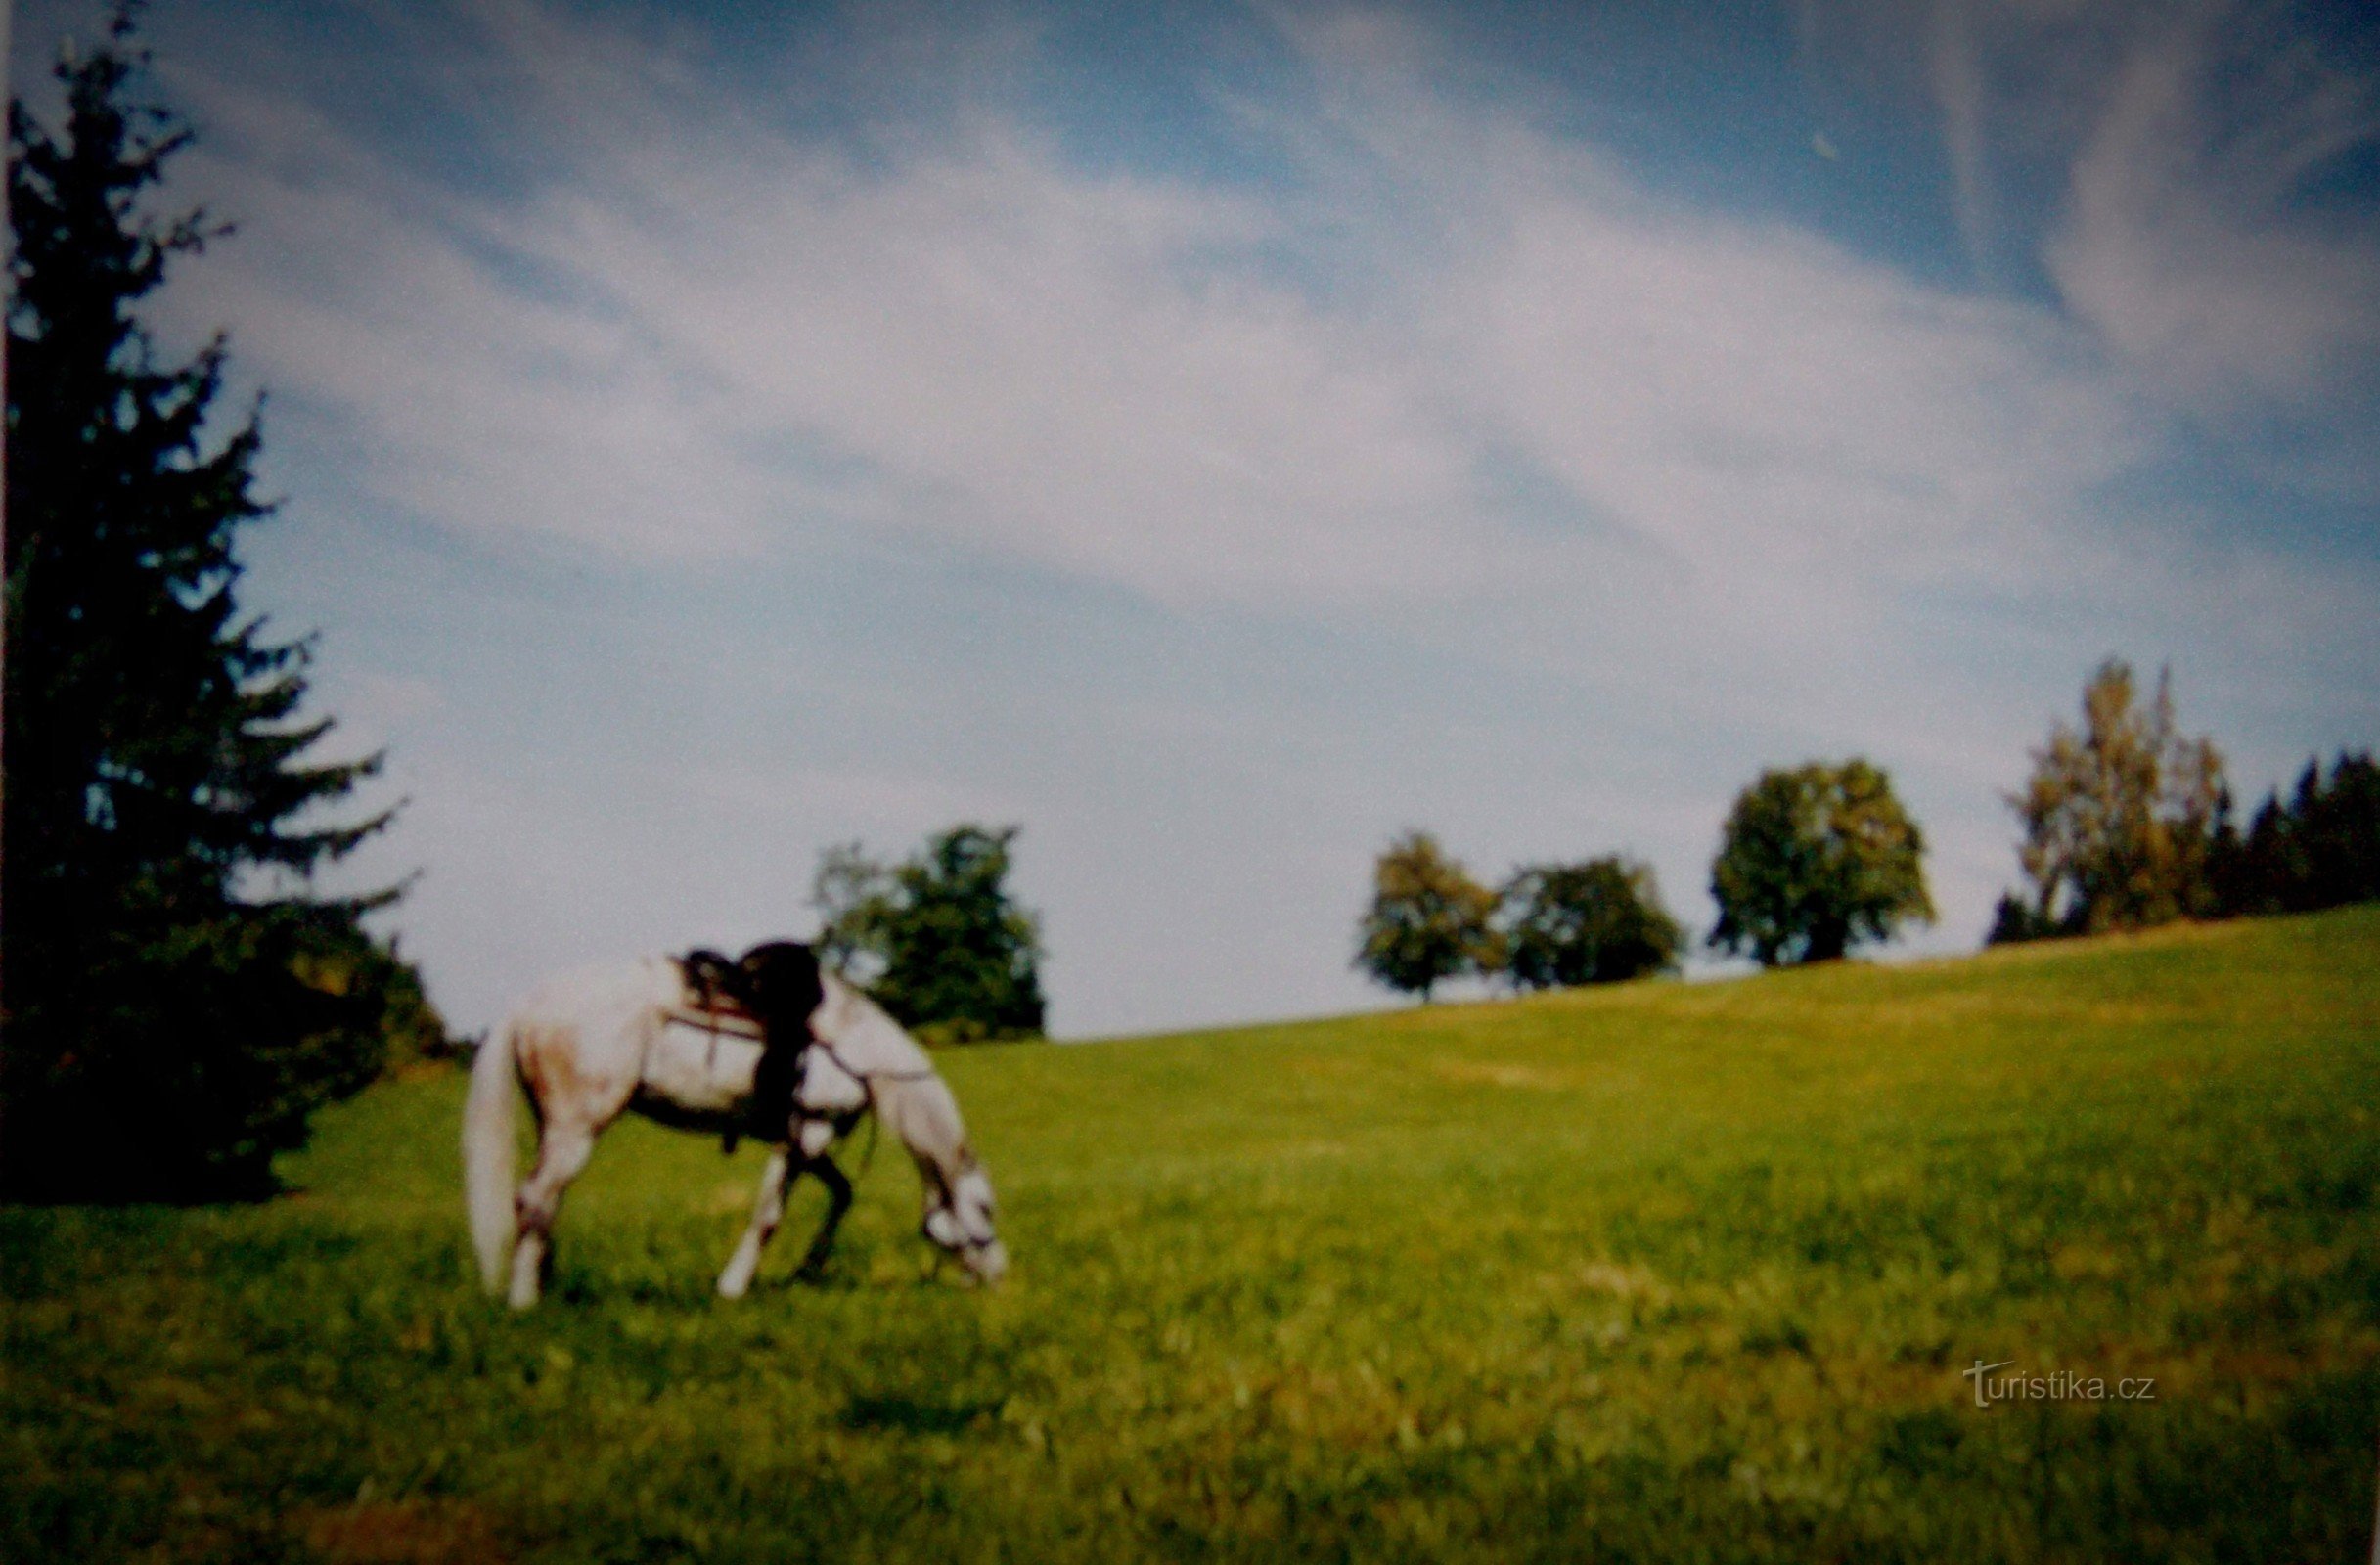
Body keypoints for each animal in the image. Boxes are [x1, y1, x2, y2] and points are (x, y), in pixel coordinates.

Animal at [462, 937, 1004, 1303]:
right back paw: (525, 1300)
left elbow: (843, 1193)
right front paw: (734, 1285)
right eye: (985, 1209)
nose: (999, 1274)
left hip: (554, 1128)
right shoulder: (806, 1136)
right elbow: (769, 1216)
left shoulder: (807, 1141)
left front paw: (808, 1269)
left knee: (544, 1201)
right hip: (576, 1130)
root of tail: (528, 1005)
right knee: (535, 1198)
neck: (854, 1046)